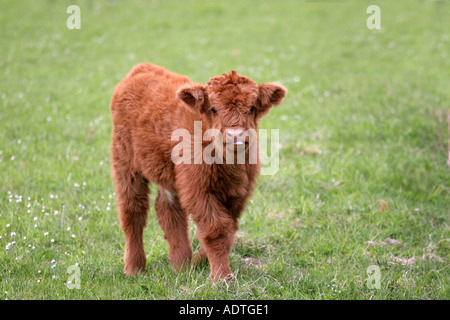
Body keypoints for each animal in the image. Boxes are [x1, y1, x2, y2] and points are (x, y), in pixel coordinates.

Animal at [110, 63, 284, 280]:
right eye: (214, 109)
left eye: (251, 108)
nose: (235, 135)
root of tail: (143, 68)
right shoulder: (198, 190)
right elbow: (216, 230)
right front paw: (221, 277)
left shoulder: (237, 194)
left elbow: (228, 229)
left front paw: (200, 263)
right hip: (125, 164)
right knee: (133, 211)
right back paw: (134, 268)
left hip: (169, 174)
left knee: (169, 210)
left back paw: (182, 265)